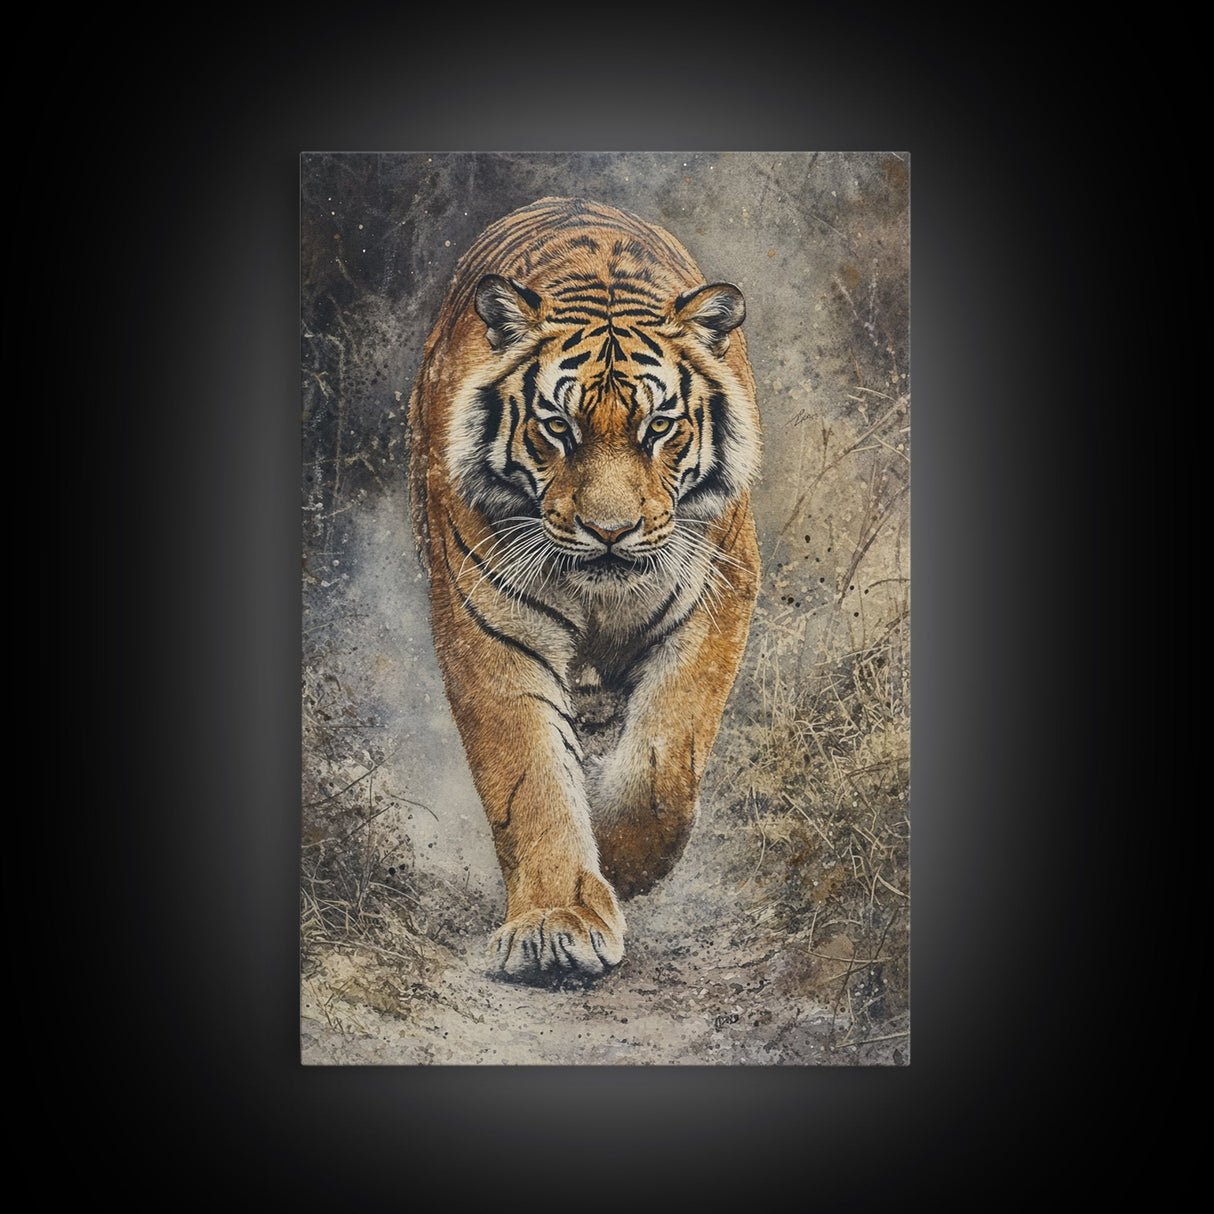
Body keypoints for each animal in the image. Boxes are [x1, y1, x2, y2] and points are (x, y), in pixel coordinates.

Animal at [406, 197, 761, 983]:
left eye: (658, 426)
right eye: (557, 427)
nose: (609, 530)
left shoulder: (716, 598)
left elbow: (663, 764)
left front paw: (623, 867)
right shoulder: (490, 626)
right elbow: (531, 776)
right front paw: (553, 923)